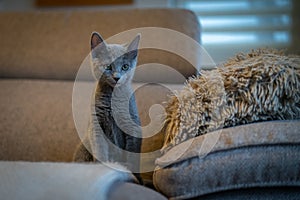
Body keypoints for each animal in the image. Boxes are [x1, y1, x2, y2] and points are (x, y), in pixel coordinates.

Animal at [73, 32, 142, 182]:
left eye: (125, 67)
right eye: (108, 67)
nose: (117, 77)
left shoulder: (132, 128)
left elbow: (132, 158)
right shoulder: (96, 127)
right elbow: (100, 152)